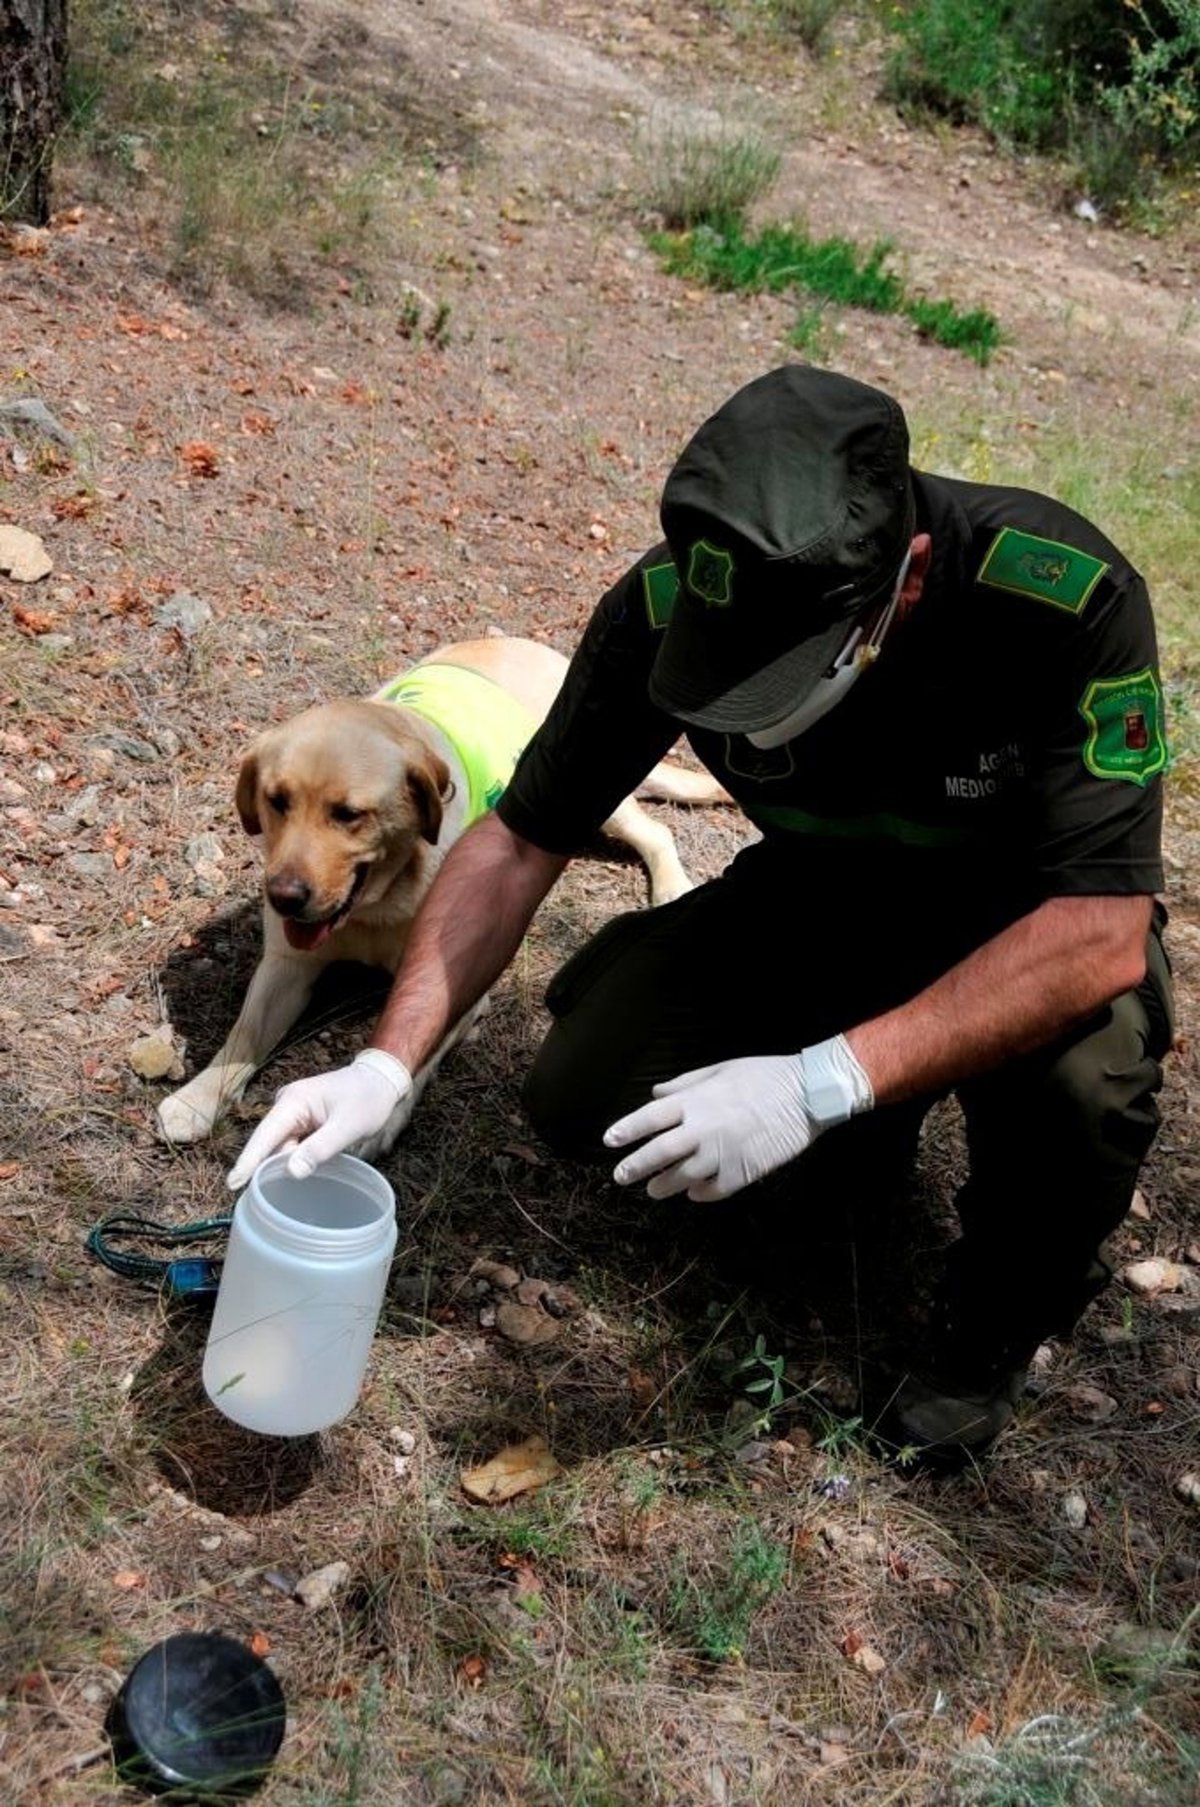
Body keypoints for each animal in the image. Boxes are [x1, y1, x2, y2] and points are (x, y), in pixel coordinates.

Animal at [156, 635, 728, 1147]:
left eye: (349, 814)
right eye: (277, 801)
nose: (285, 897)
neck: (376, 906)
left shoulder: (457, 988)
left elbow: (413, 1060)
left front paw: (375, 1124)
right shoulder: (286, 964)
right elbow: (244, 1033)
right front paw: (198, 1097)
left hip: (584, 793)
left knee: (657, 831)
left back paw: (672, 887)